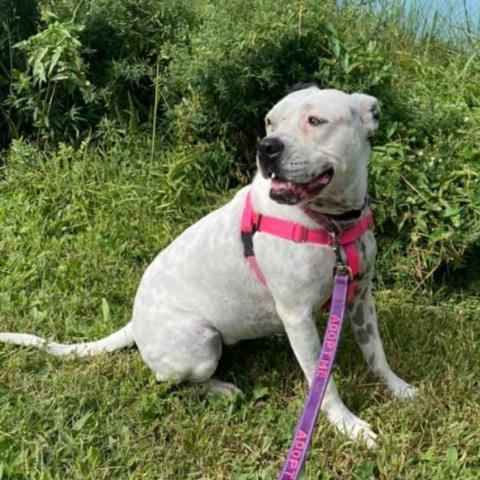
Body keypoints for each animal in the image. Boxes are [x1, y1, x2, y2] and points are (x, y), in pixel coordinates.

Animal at [0, 85, 414, 446]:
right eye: (270, 122)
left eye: (315, 120)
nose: (267, 147)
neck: (331, 225)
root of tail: (134, 323)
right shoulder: (298, 317)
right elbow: (322, 380)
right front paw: (349, 426)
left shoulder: (360, 297)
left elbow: (375, 351)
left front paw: (397, 387)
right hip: (201, 343)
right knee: (170, 380)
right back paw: (221, 389)